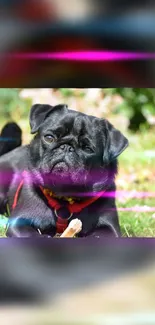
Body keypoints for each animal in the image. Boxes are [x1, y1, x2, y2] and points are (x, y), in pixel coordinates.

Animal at [0, 104, 128, 238]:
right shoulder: (18, 223)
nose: (67, 147)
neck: (65, 199)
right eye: (49, 138)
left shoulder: (110, 229)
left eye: (87, 148)